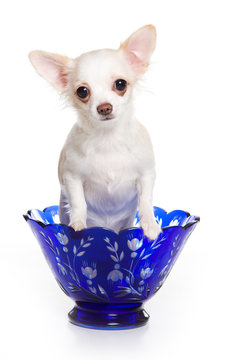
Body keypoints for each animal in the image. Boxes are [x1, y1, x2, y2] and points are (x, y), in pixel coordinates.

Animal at [29, 24, 161, 239]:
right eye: (82, 91)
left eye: (120, 84)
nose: (104, 108)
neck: (108, 139)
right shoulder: (71, 176)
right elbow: (79, 203)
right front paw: (77, 225)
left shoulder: (146, 173)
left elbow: (146, 201)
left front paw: (150, 225)